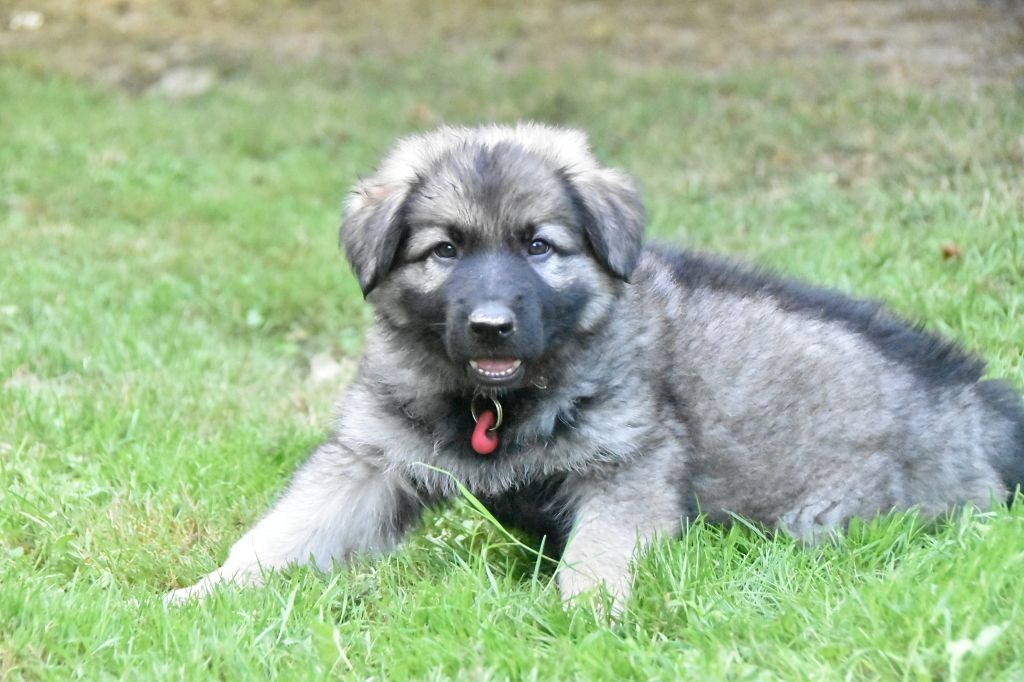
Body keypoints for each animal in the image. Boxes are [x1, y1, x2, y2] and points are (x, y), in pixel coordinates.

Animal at [168, 123, 1024, 608]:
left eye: (538, 245)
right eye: (444, 250)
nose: (490, 327)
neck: (496, 405)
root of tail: (978, 404)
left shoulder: (628, 467)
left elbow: (600, 554)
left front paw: (583, 619)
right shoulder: (370, 458)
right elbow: (281, 534)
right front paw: (201, 595)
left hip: (834, 518)